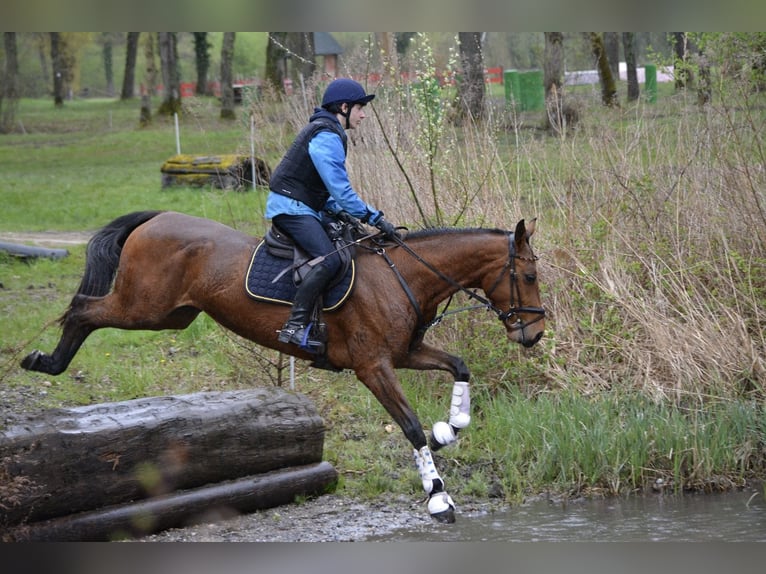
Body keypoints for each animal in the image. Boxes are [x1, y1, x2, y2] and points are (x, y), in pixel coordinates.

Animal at [20, 210, 545, 523]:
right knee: (83, 310)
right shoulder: (373, 366)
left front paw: (451, 426)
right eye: (528, 275)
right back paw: (44, 361)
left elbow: (459, 367)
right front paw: (438, 496)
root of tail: (157, 216)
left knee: (89, 311)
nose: (534, 334)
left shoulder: (402, 354)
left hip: (170, 315)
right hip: (144, 308)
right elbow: (411, 426)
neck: (403, 277)